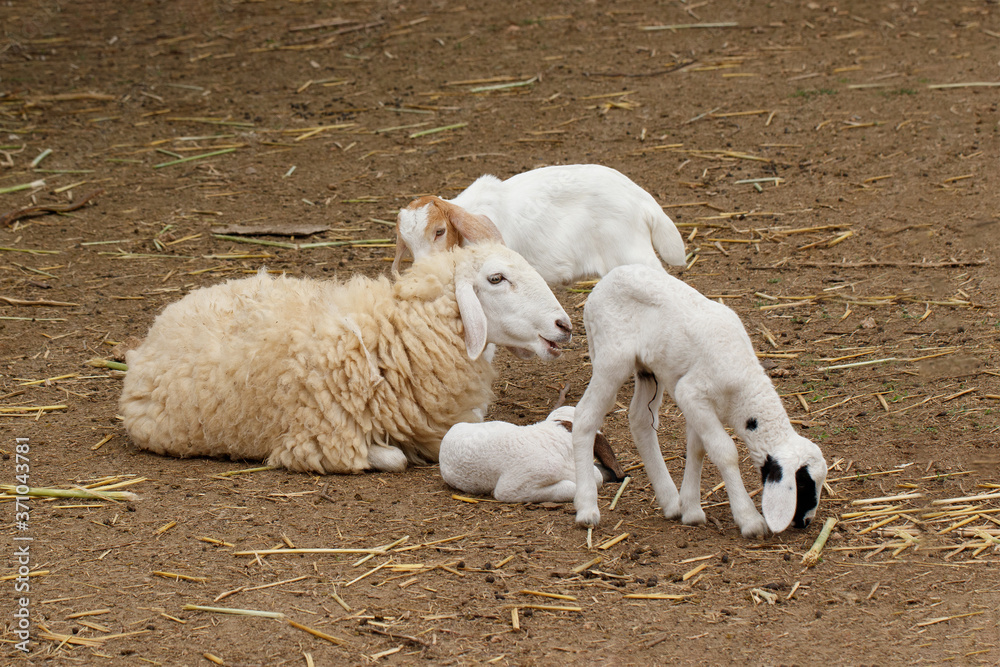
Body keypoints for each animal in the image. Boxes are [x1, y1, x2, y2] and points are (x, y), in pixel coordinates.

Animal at [119, 243, 573, 475]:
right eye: (496, 279)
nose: (564, 325)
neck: (393, 334)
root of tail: (155, 330)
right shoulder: (319, 442)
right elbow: (393, 459)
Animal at [570, 265, 828, 538]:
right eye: (803, 483)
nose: (806, 522)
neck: (744, 389)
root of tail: (603, 283)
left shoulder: (697, 405)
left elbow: (698, 448)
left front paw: (691, 510)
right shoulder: (691, 392)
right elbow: (725, 451)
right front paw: (749, 519)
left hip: (649, 369)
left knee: (640, 421)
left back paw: (671, 501)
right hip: (612, 358)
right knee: (585, 417)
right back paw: (587, 508)